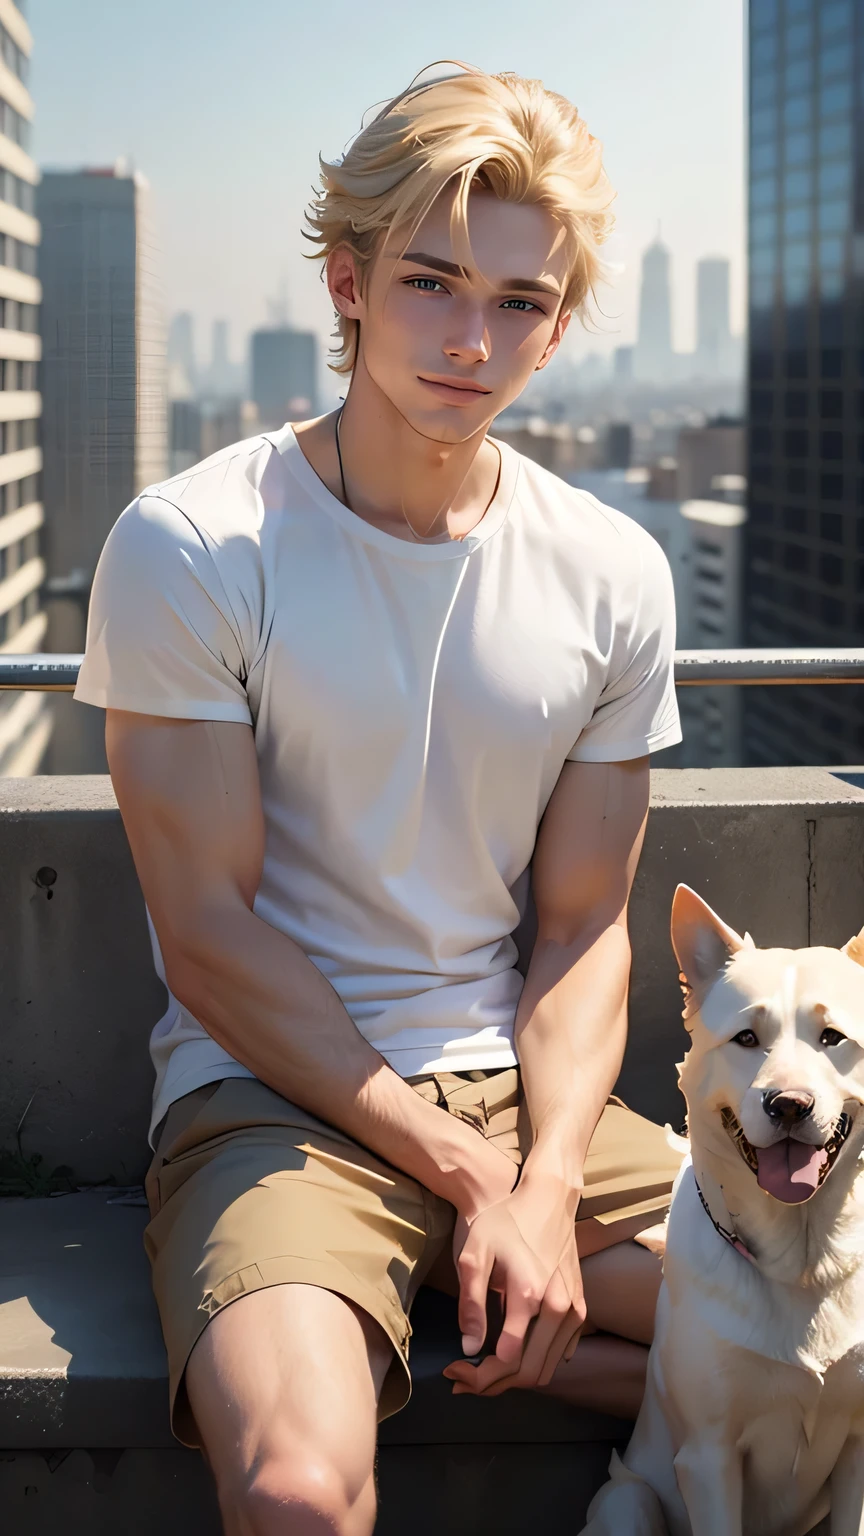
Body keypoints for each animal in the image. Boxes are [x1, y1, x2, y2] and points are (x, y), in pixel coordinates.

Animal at [578, 884, 864, 1536]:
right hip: (628, 1501)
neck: (800, 1262)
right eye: (746, 1039)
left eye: (833, 1038)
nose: (789, 1104)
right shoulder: (708, 1456)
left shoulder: (861, 1446)